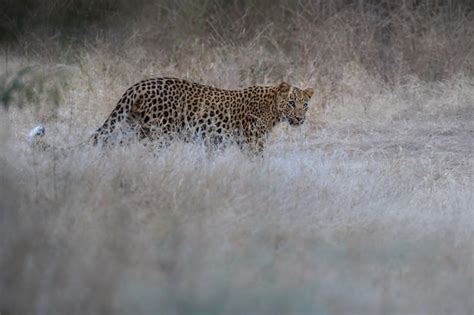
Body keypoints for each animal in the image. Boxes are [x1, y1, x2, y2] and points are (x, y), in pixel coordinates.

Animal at [90, 78, 312, 154]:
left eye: (305, 105)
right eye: (291, 103)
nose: (300, 119)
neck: (273, 109)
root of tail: (139, 85)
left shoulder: (215, 141)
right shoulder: (252, 142)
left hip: (134, 127)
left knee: (110, 141)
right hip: (159, 133)